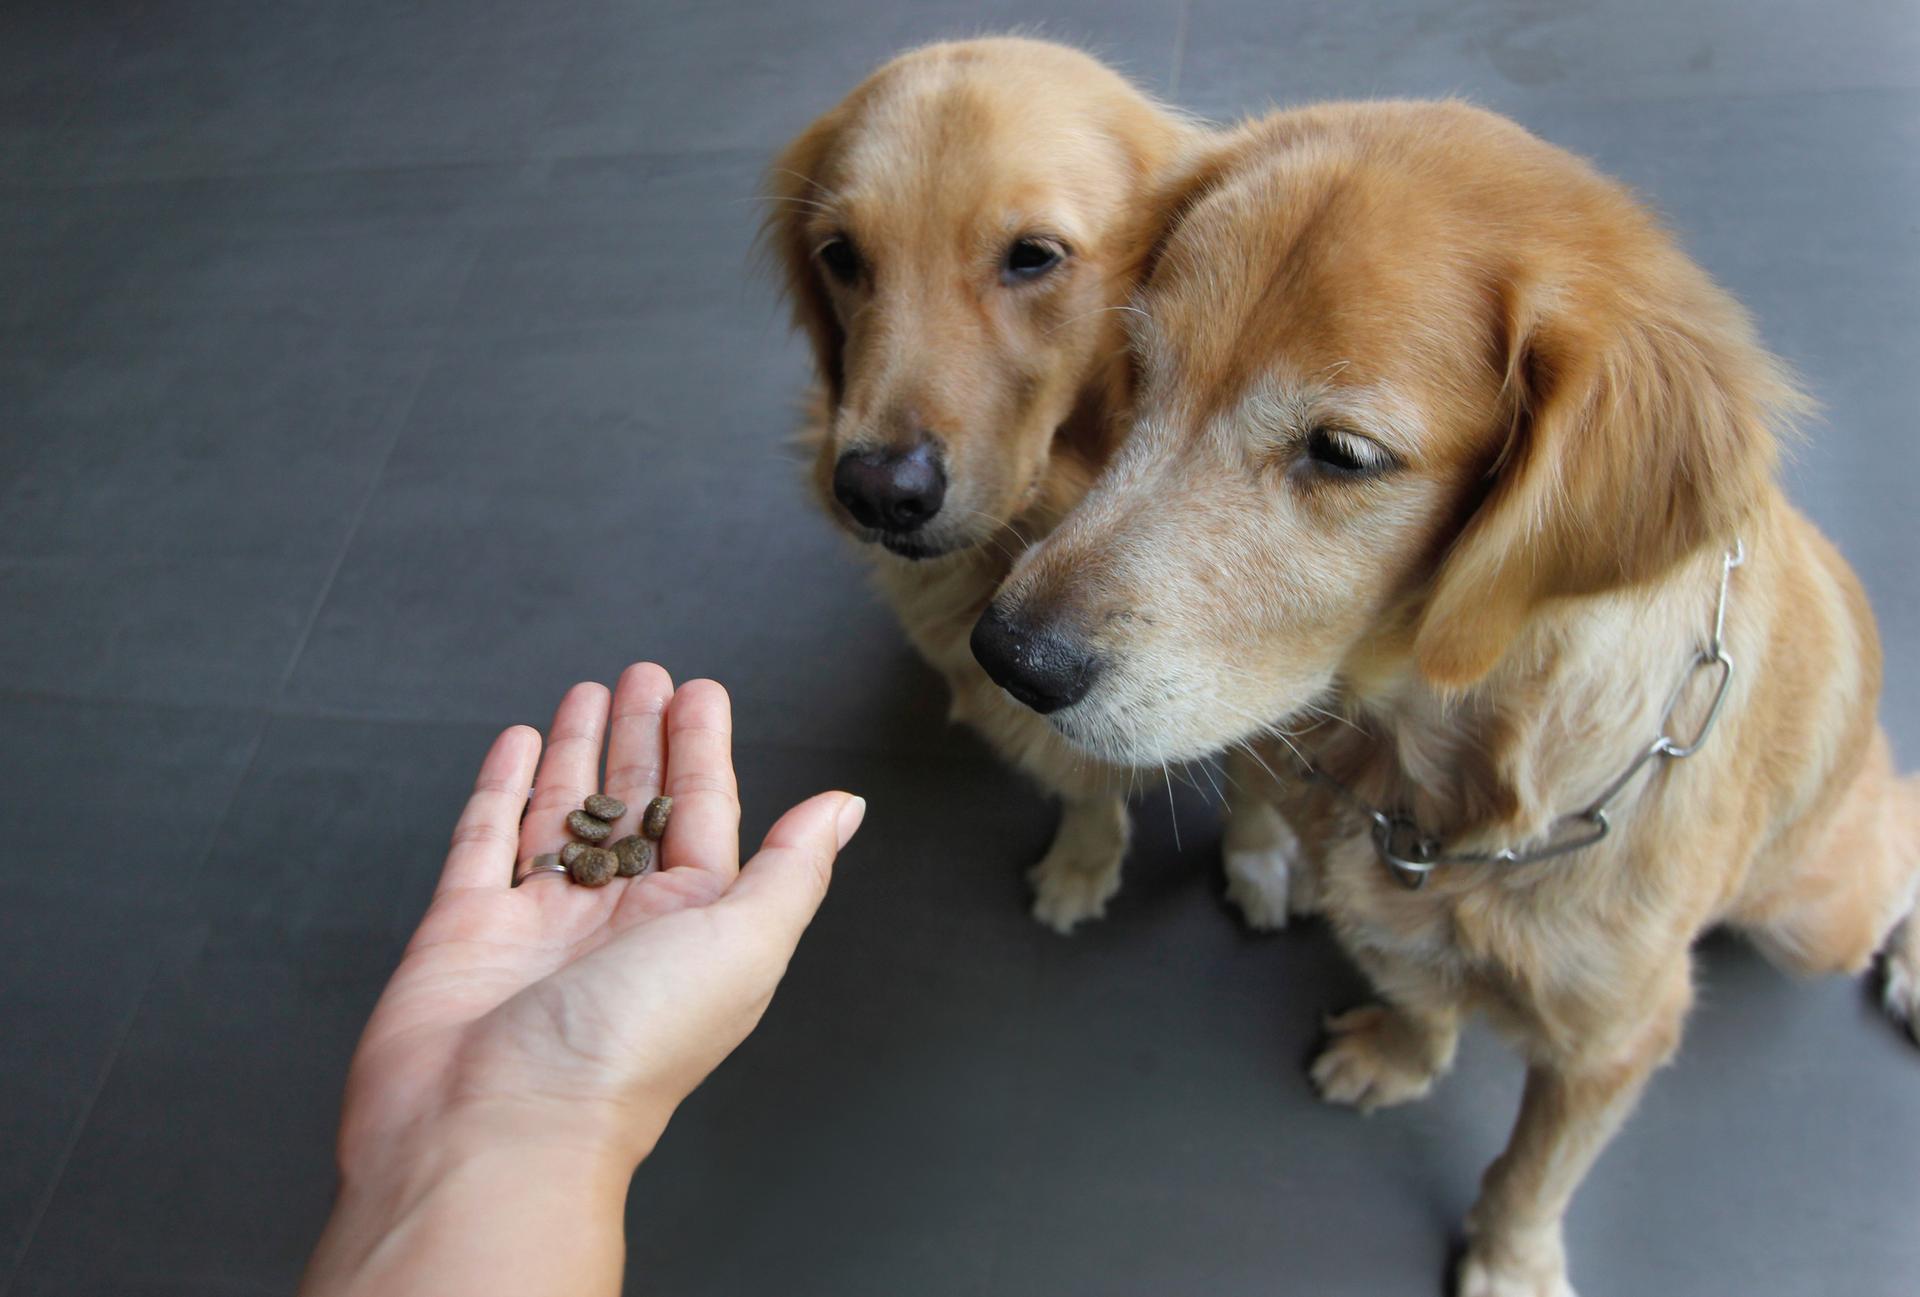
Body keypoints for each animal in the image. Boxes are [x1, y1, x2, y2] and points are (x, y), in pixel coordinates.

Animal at [975, 104, 1920, 1297]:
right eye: (1140, 369)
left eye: (1343, 453)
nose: (1007, 654)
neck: (1432, 760)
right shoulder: (1388, 909)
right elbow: (1421, 992)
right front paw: (1400, 1054)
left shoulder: (1617, 1039)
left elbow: (1533, 1171)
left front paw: (1511, 1262)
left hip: (1815, 917)